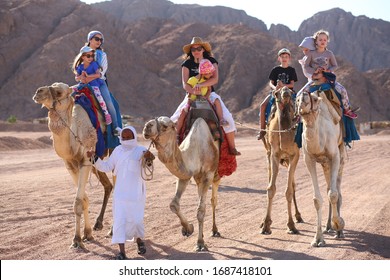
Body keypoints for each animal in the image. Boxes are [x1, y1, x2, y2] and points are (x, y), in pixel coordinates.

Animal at [33, 82, 113, 248]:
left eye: (59, 91)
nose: (38, 92)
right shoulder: (70, 164)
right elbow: (84, 200)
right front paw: (87, 234)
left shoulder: (85, 161)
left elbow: (78, 201)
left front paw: (77, 239)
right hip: (96, 164)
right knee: (108, 185)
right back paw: (98, 224)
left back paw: (113, 230)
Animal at [142, 116, 221, 252]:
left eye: (165, 126)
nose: (147, 126)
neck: (195, 152)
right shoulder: (185, 176)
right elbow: (174, 204)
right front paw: (188, 229)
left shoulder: (208, 175)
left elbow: (201, 210)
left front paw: (200, 243)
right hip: (198, 179)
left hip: (216, 175)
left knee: (213, 200)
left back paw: (214, 230)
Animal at [260, 86, 304, 235]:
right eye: (276, 93)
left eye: (291, 92)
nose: (285, 92)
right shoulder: (274, 155)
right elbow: (270, 188)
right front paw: (266, 225)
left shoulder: (294, 156)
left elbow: (289, 190)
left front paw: (291, 225)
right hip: (268, 155)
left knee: (293, 185)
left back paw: (298, 216)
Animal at [296, 89, 344, 247]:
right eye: (296, 99)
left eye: (315, 99)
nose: (303, 98)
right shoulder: (308, 159)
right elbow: (317, 199)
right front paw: (317, 239)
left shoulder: (334, 157)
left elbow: (334, 194)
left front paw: (339, 223)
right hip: (325, 164)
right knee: (329, 187)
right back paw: (328, 227)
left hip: (341, 154)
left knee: (337, 191)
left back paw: (339, 231)